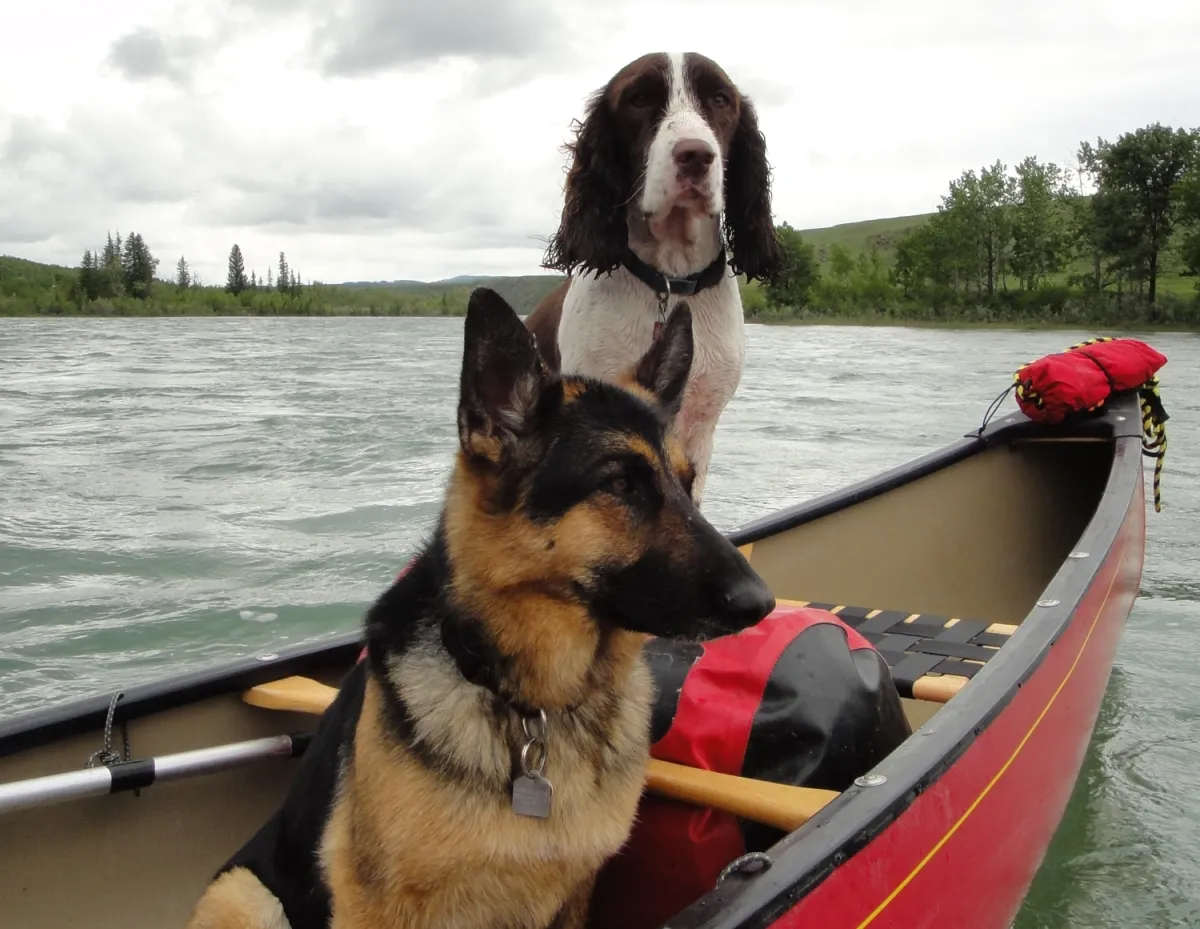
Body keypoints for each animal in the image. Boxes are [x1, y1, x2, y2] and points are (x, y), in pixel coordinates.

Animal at [182, 286, 772, 926]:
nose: (761, 603)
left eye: (687, 484)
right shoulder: (376, 908)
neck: (534, 705)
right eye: (620, 484)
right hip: (245, 893)